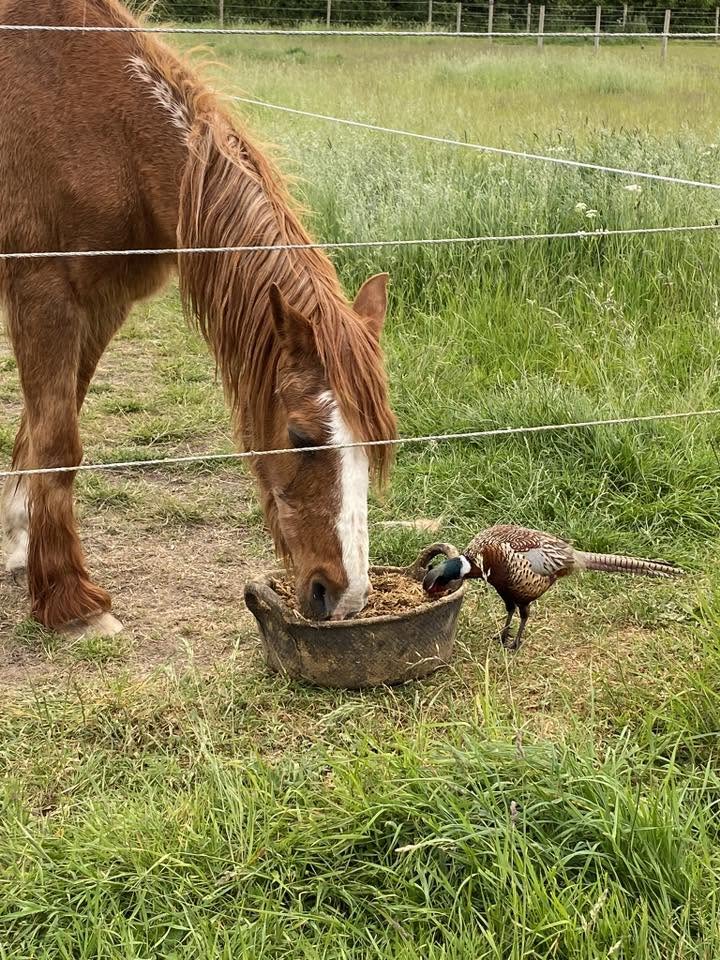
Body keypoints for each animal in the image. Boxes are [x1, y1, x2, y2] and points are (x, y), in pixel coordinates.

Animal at [0, 0, 397, 635]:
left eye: (377, 443)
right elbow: (58, 443)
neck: (99, 125)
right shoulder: (43, 291)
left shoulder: (101, 303)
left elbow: (43, 428)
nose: (344, 596)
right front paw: (71, 602)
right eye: (301, 436)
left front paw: (19, 541)